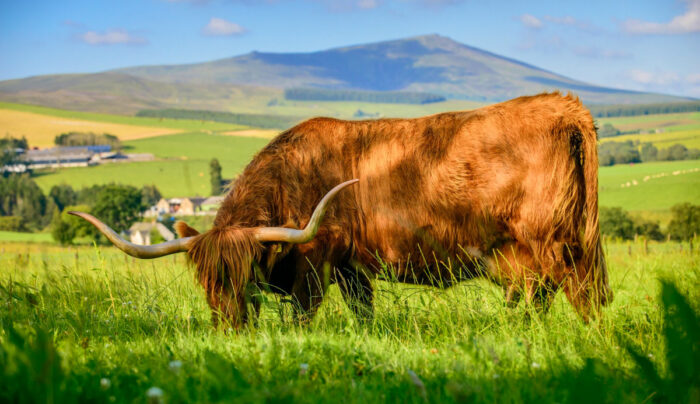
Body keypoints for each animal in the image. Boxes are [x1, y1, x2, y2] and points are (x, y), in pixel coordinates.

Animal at [71, 92, 612, 328]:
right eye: (205, 279)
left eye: (245, 273)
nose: (229, 327)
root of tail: (562, 104)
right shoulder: (354, 268)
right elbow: (363, 311)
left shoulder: (316, 262)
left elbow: (303, 315)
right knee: (540, 296)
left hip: (554, 242)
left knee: (578, 294)